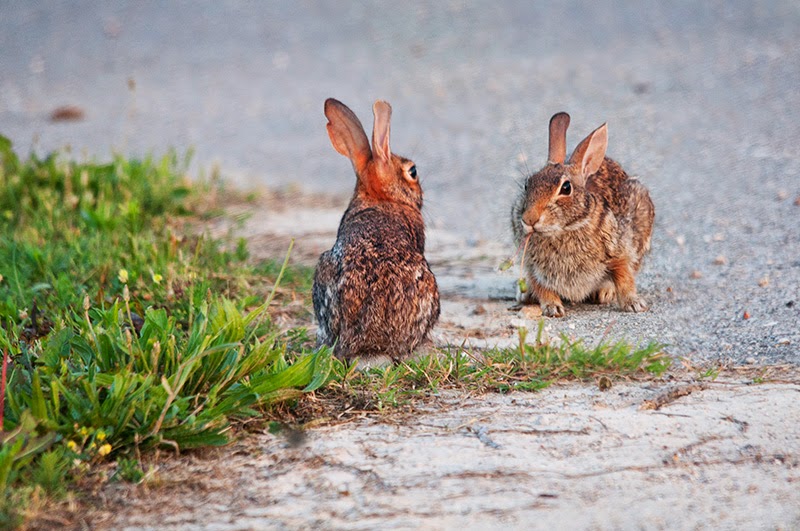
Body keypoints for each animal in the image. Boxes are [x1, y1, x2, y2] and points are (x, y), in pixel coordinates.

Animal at [510, 112, 655, 317]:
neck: (564, 229)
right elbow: (541, 286)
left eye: (566, 188)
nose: (529, 219)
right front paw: (553, 308)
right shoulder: (533, 266)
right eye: (526, 185)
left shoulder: (619, 251)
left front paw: (634, 304)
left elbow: (624, 277)